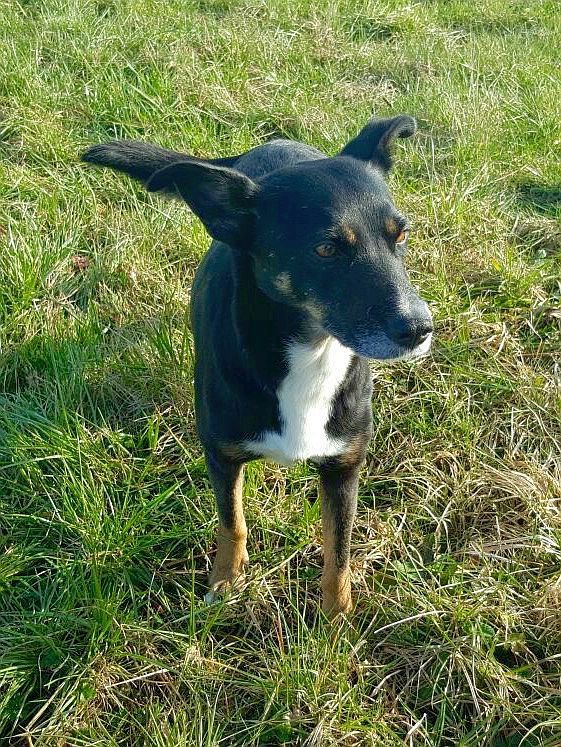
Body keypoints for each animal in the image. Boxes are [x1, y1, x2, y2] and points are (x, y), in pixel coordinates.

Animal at [82, 115, 433, 616]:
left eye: (399, 234)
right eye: (325, 250)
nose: (420, 328)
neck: (311, 353)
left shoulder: (344, 467)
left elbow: (339, 548)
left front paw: (336, 615)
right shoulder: (222, 454)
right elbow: (232, 522)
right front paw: (226, 582)